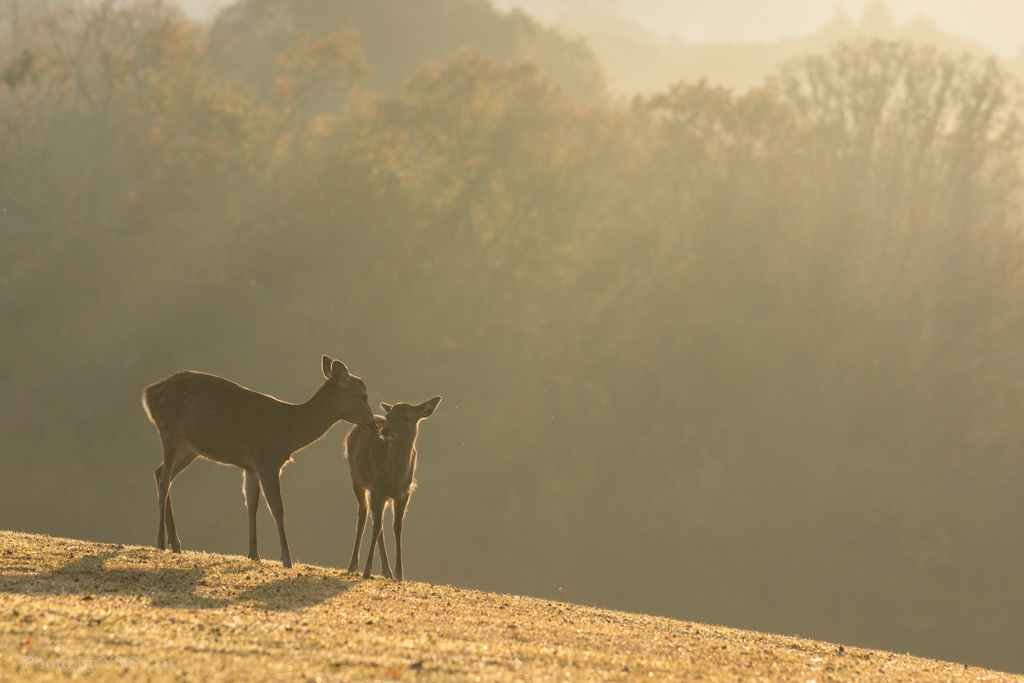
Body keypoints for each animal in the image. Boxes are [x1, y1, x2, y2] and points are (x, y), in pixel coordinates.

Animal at [142, 356, 378, 569]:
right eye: (363, 395)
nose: (374, 424)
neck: (290, 433)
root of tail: (148, 394)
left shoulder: (251, 466)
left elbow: (252, 505)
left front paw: (254, 554)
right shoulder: (267, 461)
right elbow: (277, 508)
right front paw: (286, 559)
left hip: (189, 447)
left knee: (160, 472)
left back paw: (175, 543)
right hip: (169, 429)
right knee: (164, 479)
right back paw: (160, 541)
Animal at [348, 397, 440, 581]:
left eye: (406, 418)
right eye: (388, 416)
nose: (385, 430)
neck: (393, 478)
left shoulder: (404, 492)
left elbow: (396, 526)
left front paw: (399, 573)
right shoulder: (377, 487)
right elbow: (377, 526)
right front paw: (367, 570)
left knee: (376, 520)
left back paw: (387, 571)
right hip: (356, 477)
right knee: (364, 513)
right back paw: (353, 565)